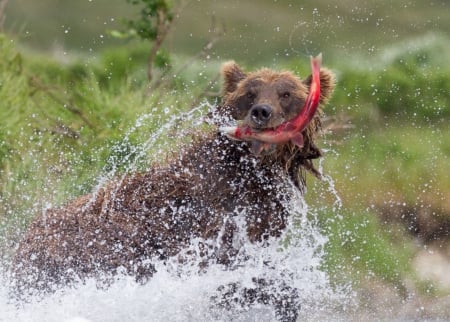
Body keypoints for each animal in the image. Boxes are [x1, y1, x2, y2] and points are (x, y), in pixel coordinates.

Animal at [11, 57, 334, 320]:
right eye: (250, 93)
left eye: (286, 94)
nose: (261, 112)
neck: (251, 172)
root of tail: (25, 238)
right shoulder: (205, 225)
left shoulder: (258, 218)